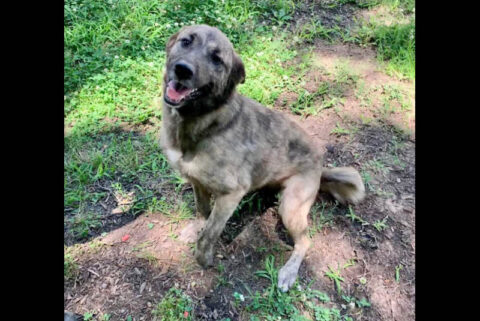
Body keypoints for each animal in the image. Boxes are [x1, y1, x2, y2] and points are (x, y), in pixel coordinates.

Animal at [159, 25, 366, 290]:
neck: (204, 123)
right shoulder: (197, 182)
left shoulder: (231, 194)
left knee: (305, 242)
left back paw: (288, 272)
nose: (182, 69)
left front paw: (204, 259)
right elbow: (202, 211)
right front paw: (196, 227)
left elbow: (210, 233)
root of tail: (320, 168)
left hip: (290, 207)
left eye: (217, 59)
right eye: (186, 41)